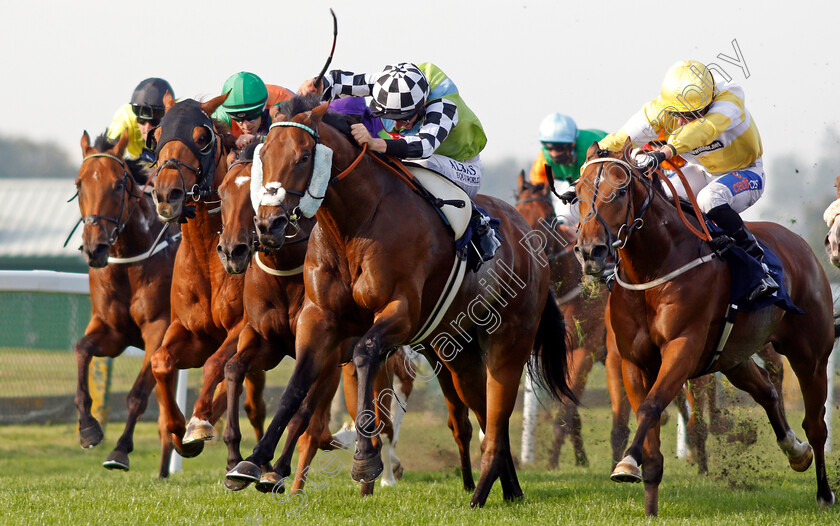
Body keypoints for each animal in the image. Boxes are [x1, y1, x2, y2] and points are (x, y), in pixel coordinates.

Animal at [74, 132, 179, 478]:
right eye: (79, 184)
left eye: (118, 185)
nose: (94, 248)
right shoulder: (112, 331)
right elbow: (82, 350)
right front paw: (88, 429)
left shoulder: (159, 329)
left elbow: (137, 395)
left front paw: (120, 450)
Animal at [226, 97, 576, 510]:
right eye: (264, 155)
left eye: (304, 156)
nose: (269, 225)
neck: (356, 223)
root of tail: (531, 240)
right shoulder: (319, 318)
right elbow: (297, 385)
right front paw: (252, 462)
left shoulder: (400, 312)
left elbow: (364, 354)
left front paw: (365, 459)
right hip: (458, 353)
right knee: (483, 414)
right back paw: (510, 489)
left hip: (509, 343)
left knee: (495, 416)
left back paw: (479, 493)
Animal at [512, 171, 624, 468]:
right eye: (517, 213)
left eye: (548, 218)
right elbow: (569, 409)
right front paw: (580, 459)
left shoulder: (586, 349)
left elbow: (566, 409)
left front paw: (552, 462)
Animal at [576, 142, 836, 516]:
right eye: (576, 193)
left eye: (621, 189)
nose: (590, 251)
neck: (655, 268)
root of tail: (802, 245)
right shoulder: (632, 361)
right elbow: (648, 423)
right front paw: (649, 505)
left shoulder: (683, 347)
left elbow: (652, 406)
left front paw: (626, 462)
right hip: (733, 358)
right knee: (767, 390)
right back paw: (795, 450)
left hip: (810, 355)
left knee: (816, 425)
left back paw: (823, 491)